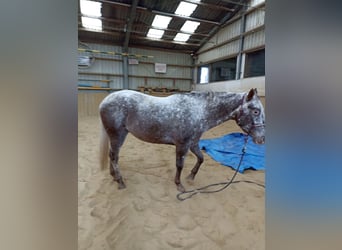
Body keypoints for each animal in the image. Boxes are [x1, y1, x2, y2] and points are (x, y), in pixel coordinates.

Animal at [99, 87, 264, 191]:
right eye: (256, 111)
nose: (261, 139)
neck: (199, 111)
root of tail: (105, 100)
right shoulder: (182, 145)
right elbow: (179, 165)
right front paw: (179, 185)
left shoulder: (193, 143)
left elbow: (201, 158)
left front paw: (191, 176)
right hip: (118, 135)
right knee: (114, 156)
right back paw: (120, 181)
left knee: (112, 155)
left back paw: (114, 176)